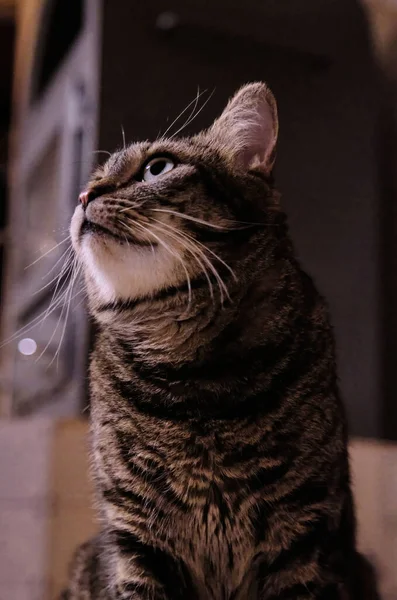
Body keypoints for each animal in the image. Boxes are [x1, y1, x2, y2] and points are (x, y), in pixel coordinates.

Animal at [61, 83, 378, 600]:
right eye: (94, 178)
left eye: (158, 167)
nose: (84, 194)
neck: (189, 376)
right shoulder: (133, 536)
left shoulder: (304, 534)